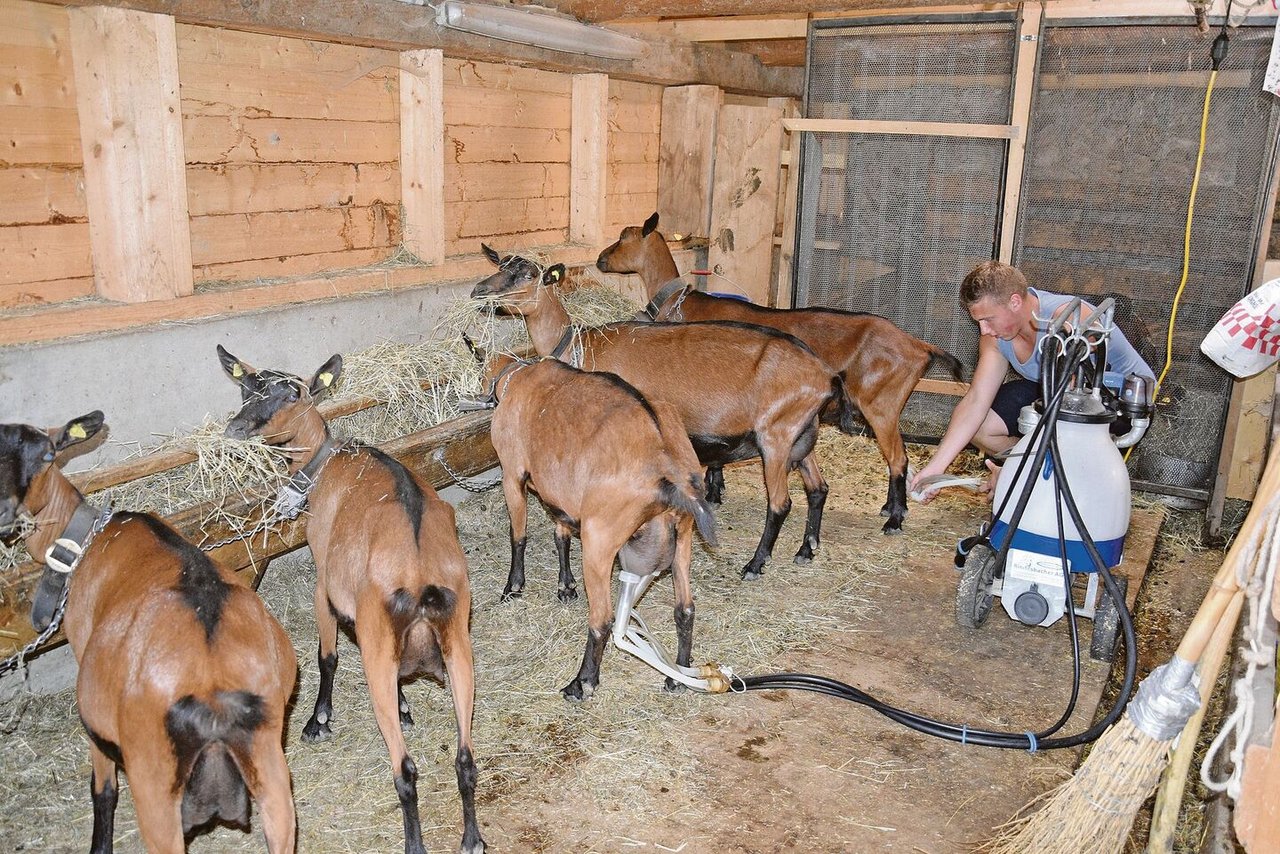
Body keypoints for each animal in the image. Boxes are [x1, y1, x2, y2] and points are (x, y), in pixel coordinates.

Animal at [3, 412, 296, 850]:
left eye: (47, 455)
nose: (5, 512)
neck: (87, 540)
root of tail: (212, 678)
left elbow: (103, 790)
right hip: (269, 765)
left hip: (153, 784)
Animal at [215, 348, 483, 854]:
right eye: (246, 388)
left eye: (291, 394)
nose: (235, 429)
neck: (326, 465)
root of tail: (422, 578)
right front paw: (405, 705)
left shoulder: (325, 583)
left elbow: (328, 654)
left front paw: (318, 720)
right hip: (458, 646)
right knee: (466, 759)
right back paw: (473, 839)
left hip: (381, 651)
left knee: (406, 769)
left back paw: (414, 843)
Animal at [468, 247, 849, 581]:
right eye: (500, 264)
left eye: (528, 275)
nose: (478, 291)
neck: (577, 344)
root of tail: (826, 375)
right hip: (801, 435)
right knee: (818, 488)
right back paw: (806, 549)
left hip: (775, 437)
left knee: (781, 503)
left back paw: (755, 565)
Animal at [483, 353, 721, 701]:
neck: (519, 378)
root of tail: (667, 465)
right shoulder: (563, 497)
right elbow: (560, 535)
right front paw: (565, 586)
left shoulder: (512, 474)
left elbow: (519, 535)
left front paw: (513, 587)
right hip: (683, 537)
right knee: (685, 608)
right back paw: (675, 676)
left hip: (600, 540)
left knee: (603, 618)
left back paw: (581, 683)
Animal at [593, 213, 962, 535]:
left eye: (623, 237)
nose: (599, 259)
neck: (685, 303)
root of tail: (919, 345)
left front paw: (714, 489)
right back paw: (890, 508)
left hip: (880, 405)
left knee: (898, 458)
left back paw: (895, 520)